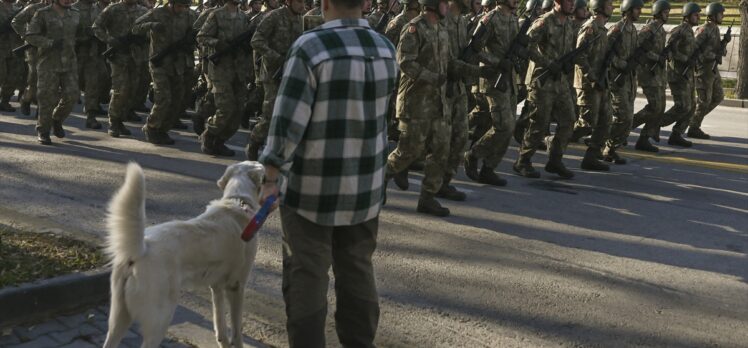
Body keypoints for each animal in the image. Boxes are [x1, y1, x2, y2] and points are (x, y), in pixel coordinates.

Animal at [102, 160, 266, 348]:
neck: (237, 200)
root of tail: (142, 249)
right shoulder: (237, 286)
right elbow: (237, 329)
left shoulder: (216, 287)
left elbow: (220, 323)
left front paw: (223, 342)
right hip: (160, 319)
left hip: (119, 318)